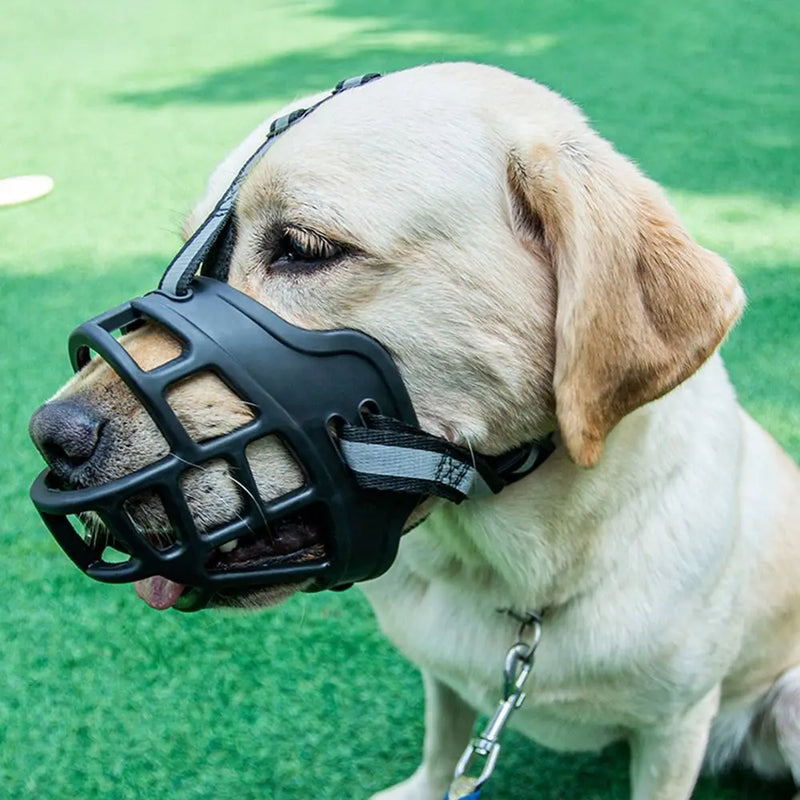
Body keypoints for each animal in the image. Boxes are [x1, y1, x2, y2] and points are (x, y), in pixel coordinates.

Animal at [29, 64, 800, 800]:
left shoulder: (676, 727)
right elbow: (442, 745)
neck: (513, 578)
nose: (52, 437)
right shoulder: (446, 680)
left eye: (304, 247)